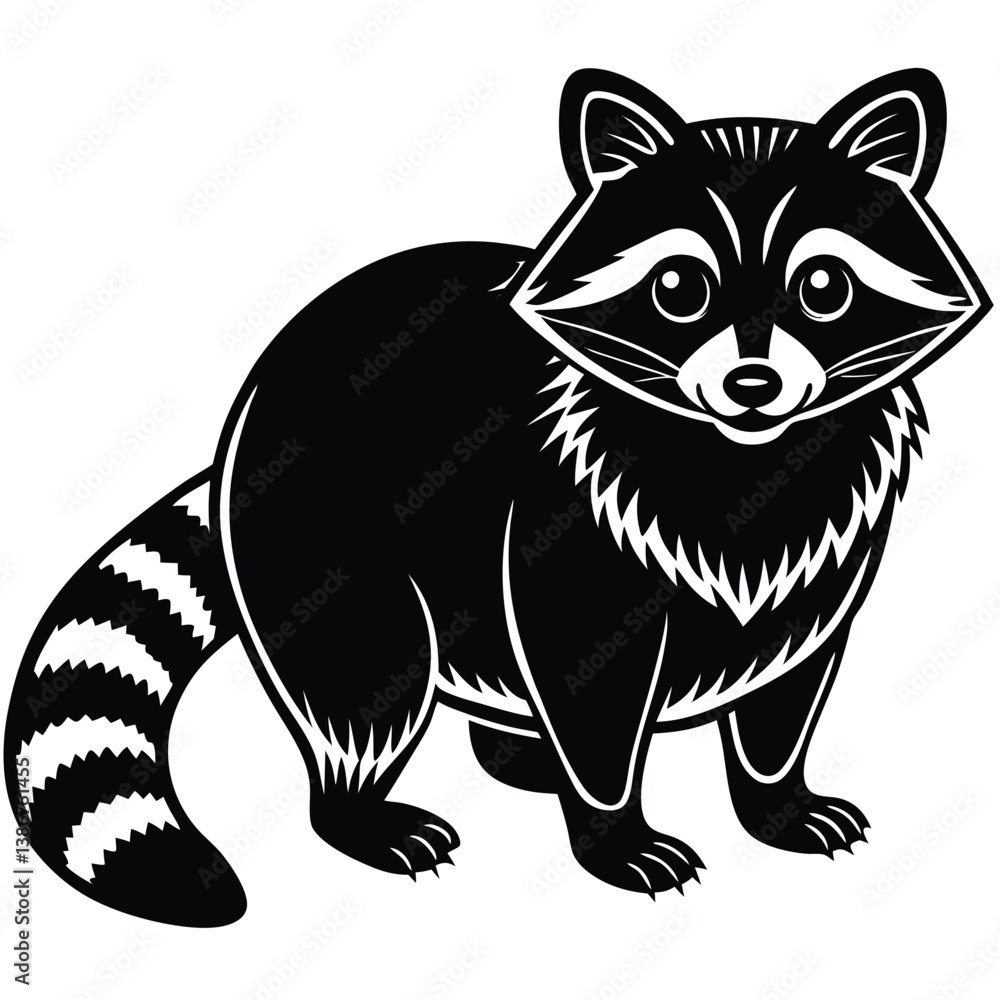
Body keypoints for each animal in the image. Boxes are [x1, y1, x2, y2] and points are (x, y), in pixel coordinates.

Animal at [5, 68, 990, 925]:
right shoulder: (575, 515)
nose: (755, 384)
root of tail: (255, 393)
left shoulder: (825, 550)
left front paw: (775, 799)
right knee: (369, 678)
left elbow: (787, 687)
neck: (738, 455)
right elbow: (588, 677)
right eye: (679, 287)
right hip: (325, 532)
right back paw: (362, 810)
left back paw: (519, 753)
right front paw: (613, 828)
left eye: (822, 286)